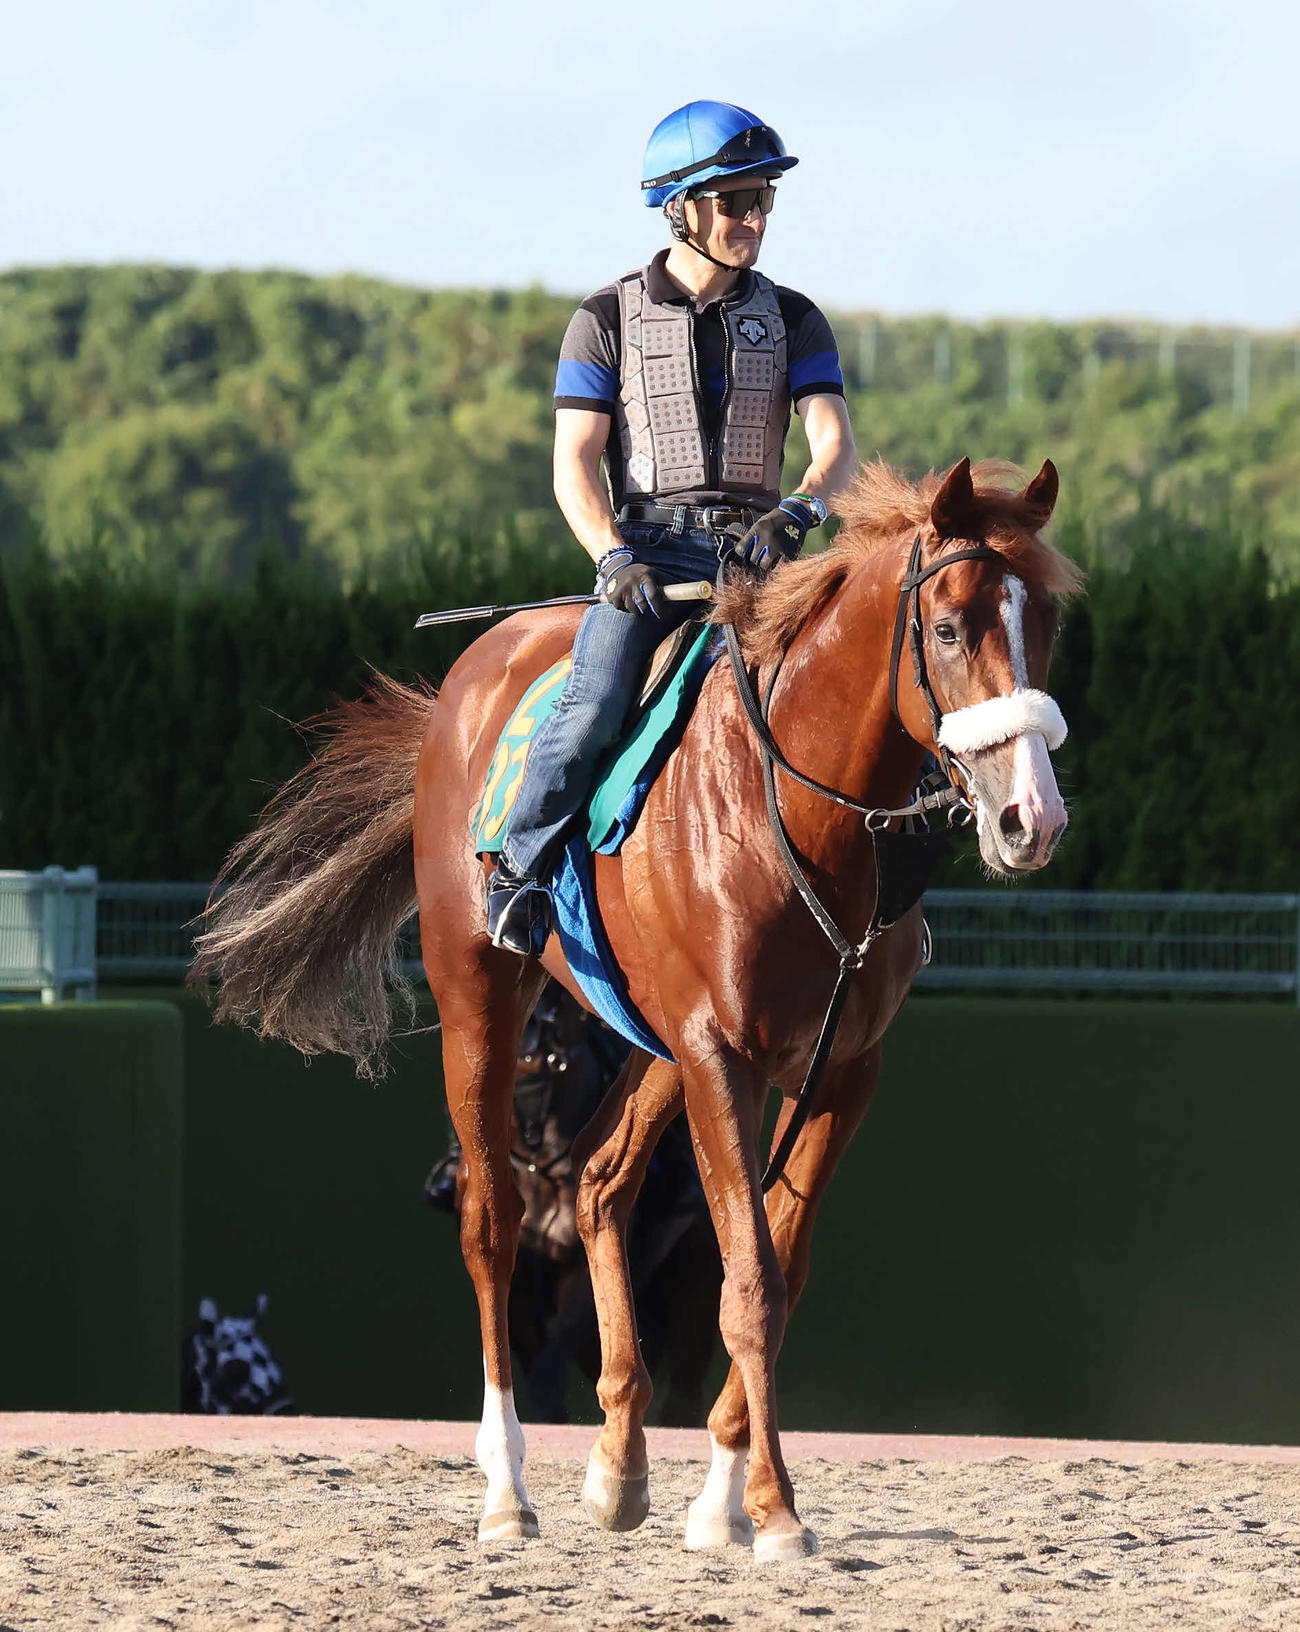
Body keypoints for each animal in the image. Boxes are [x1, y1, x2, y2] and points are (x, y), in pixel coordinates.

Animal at [192, 454, 1083, 1561]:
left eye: (1047, 622)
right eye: (952, 627)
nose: (1031, 818)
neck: (802, 819)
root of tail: (465, 684)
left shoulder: (838, 1068)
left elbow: (775, 1267)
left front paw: (722, 1498)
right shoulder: (721, 1055)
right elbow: (751, 1281)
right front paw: (774, 1508)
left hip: (653, 1043)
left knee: (601, 1181)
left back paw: (618, 1462)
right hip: (479, 996)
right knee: (490, 1224)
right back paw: (506, 1488)